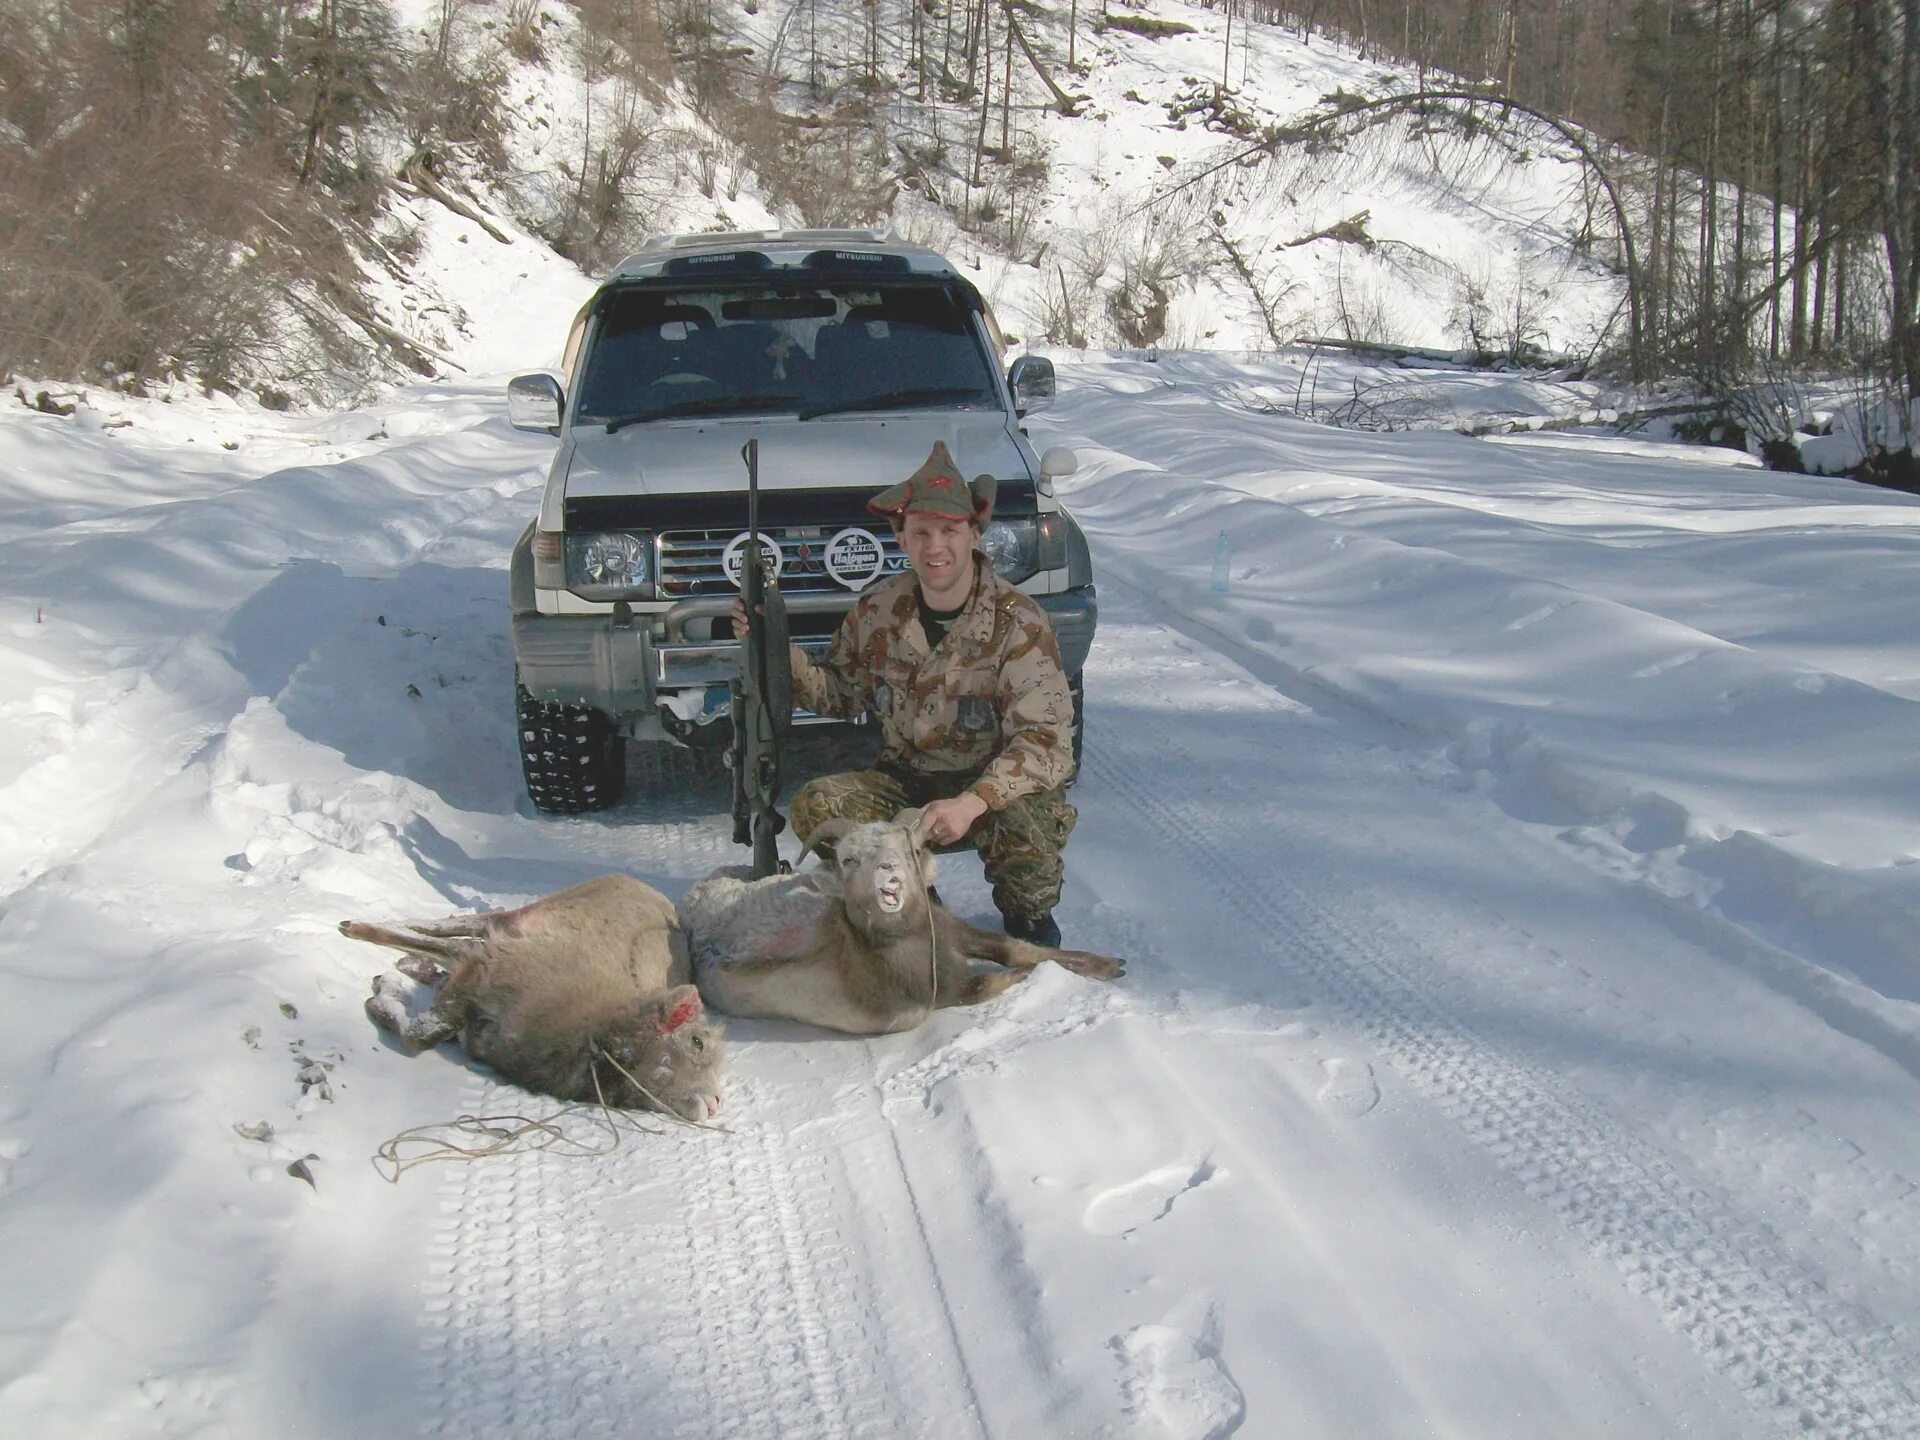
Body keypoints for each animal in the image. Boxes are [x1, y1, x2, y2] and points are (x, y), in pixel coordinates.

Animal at [341, 879, 721, 1128]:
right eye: (697, 1041)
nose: (715, 1104)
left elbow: (428, 1030)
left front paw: (395, 981)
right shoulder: (488, 970)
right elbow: (421, 1035)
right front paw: (384, 988)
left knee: (453, 940)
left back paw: (412, 963)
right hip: (521, 920)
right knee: (457, 926)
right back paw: (358, 926)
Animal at [683, 814, 1121, 1036]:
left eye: (908, 849)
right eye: (848, 859)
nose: (888, 873)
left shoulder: (948, 928)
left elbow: (1013, 948)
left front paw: (1108, 965)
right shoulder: (945, 993)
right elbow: (995, 978)